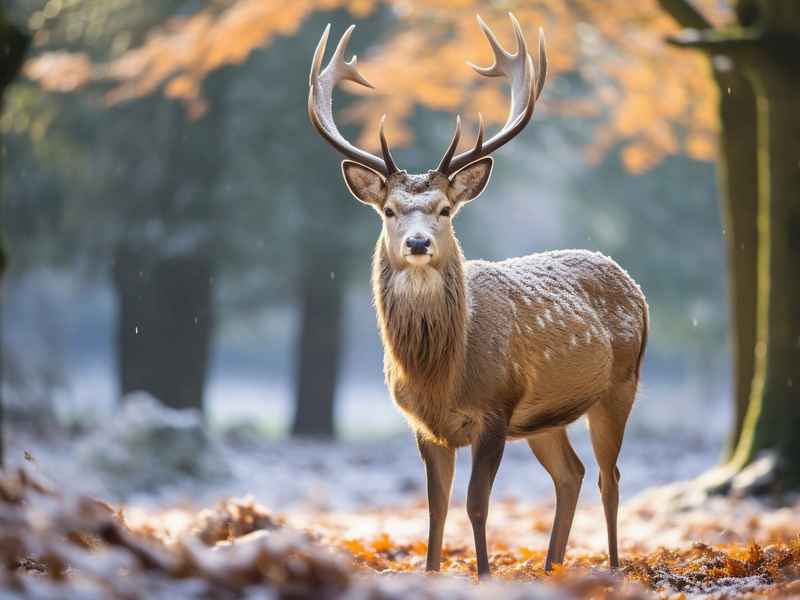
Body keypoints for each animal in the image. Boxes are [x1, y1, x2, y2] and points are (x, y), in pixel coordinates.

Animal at [308, 13, 649, 578]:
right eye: (389, 211)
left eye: (445, 209)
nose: (417, 243)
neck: (440, 372)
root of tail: (632, 283)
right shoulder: (424, 425)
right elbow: (436, 507)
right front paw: (430, 573)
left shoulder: (495, 408)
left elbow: (476, 503)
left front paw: (485, 573)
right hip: (543, 418)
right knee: (572, 474)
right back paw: (552, 568)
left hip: (621, 383)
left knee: (610, 476)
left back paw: (614, 568)